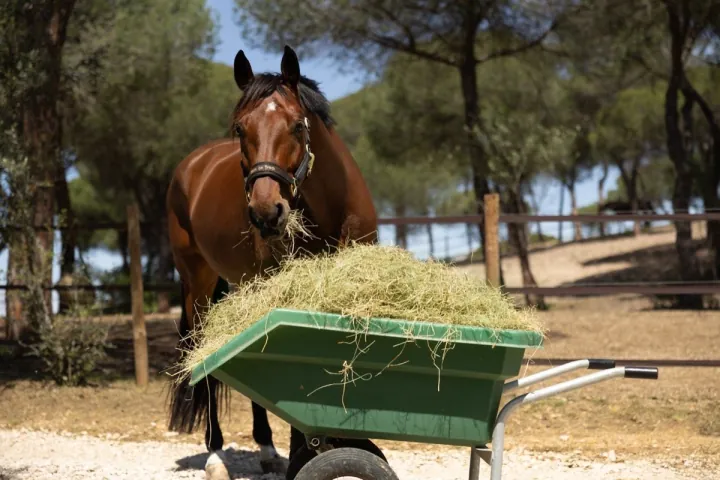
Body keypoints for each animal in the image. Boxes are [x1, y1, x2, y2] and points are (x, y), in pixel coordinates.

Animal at [165, 45, 378, 480]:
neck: (332, 211)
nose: (266, 213)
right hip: (198, 287)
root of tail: (191, 165)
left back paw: (266, 449)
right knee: (206, 362)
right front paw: (309, 452)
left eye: (297, 125)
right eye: (239, 129)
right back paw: (215, 455)